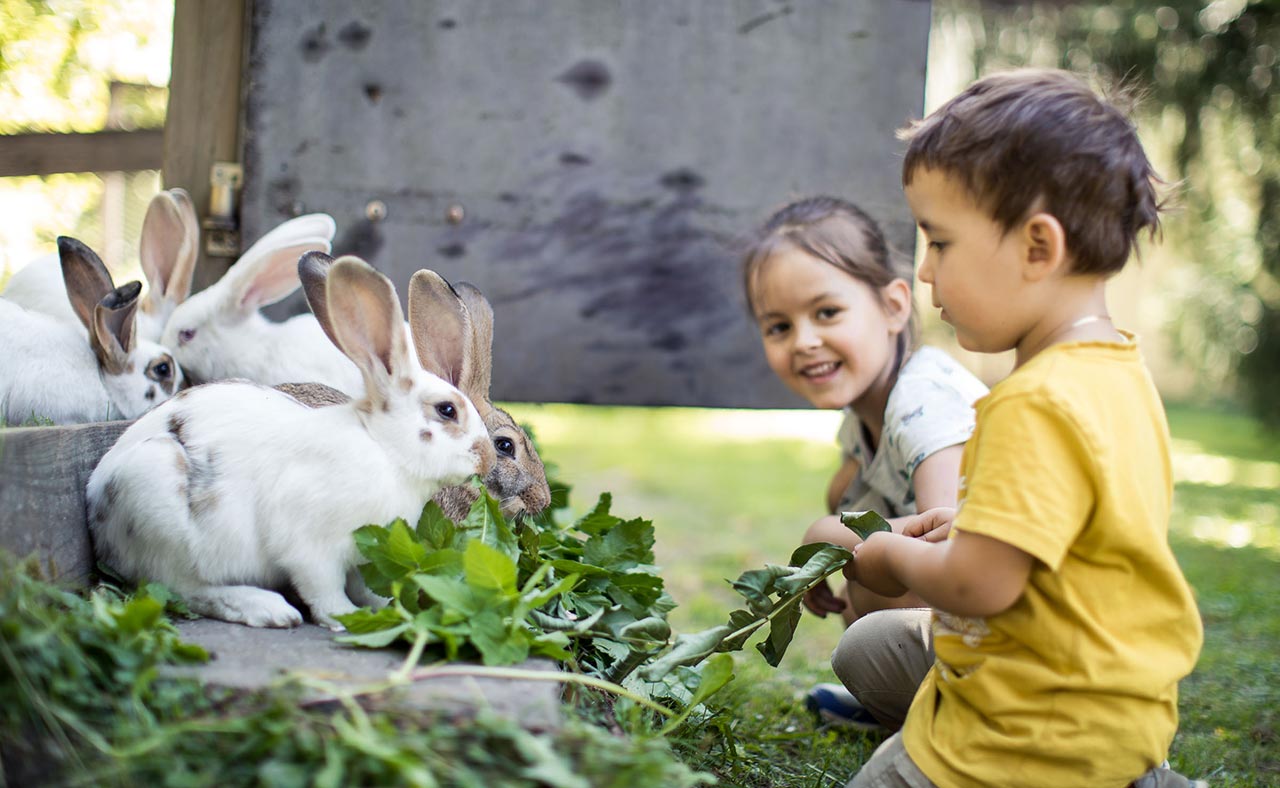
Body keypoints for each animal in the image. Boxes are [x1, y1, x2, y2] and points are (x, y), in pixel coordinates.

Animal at [85, 255, 494, 631]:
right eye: (447, 410)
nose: (487, 459)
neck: (385, 451)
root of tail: (96, 509)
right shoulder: (310, 547)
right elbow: (324, 590)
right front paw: (345, 618)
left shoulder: (362, 556)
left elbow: (364, 587)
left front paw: (388, 608)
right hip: (161, 508)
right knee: (181, 588)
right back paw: (268, 609)